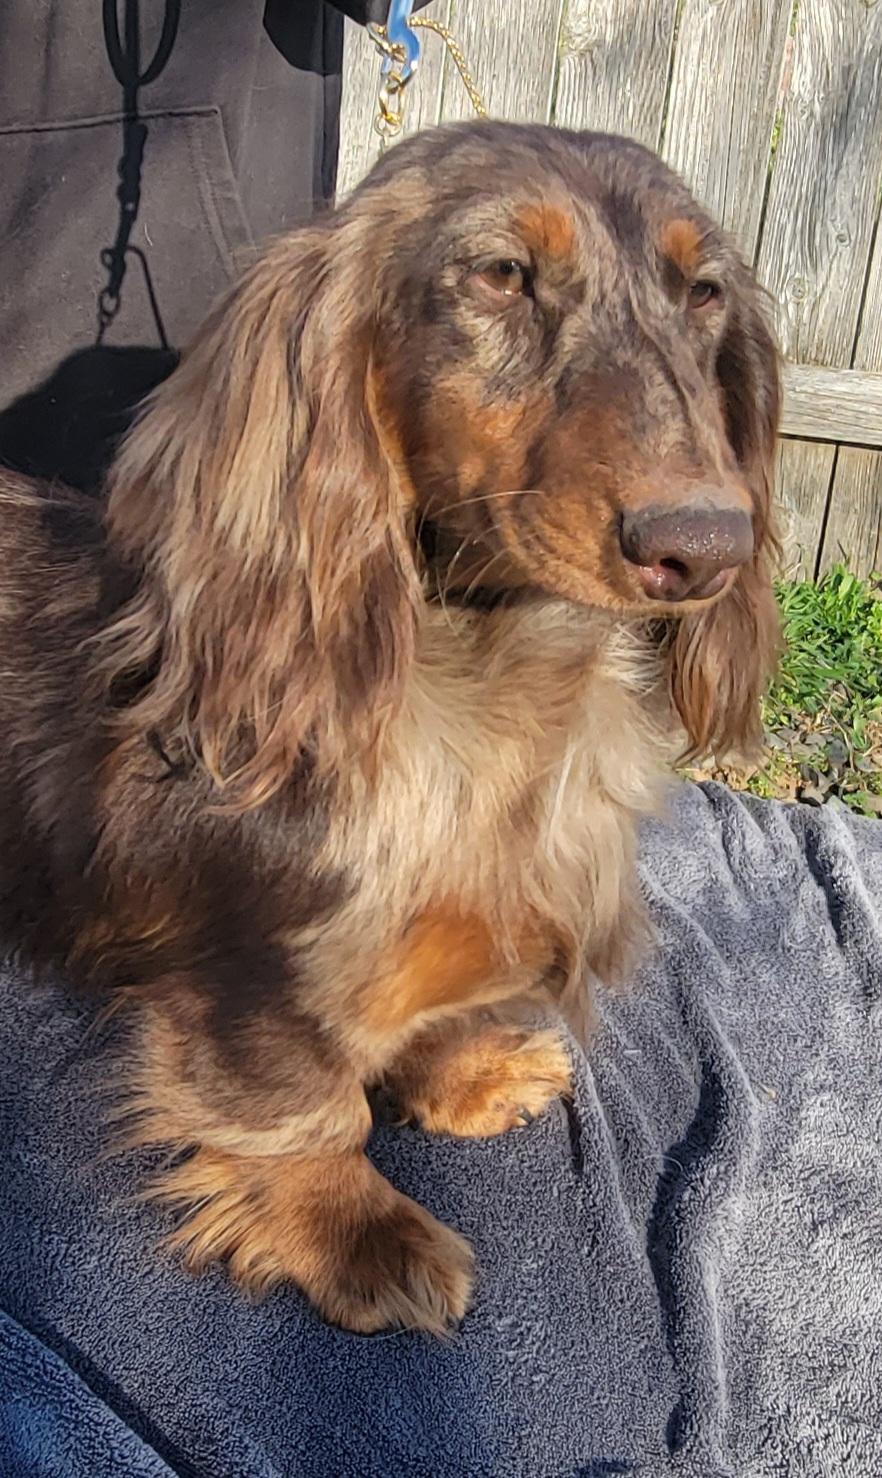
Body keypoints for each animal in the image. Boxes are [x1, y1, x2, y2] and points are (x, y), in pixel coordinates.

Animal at [0, 121, 779, 1333]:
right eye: (501, 273)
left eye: (703, 292)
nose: (703, 545)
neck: (497, 692)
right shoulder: (259, 970)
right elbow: (308, 1104)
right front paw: (357, 1231)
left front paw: (468, 1078)